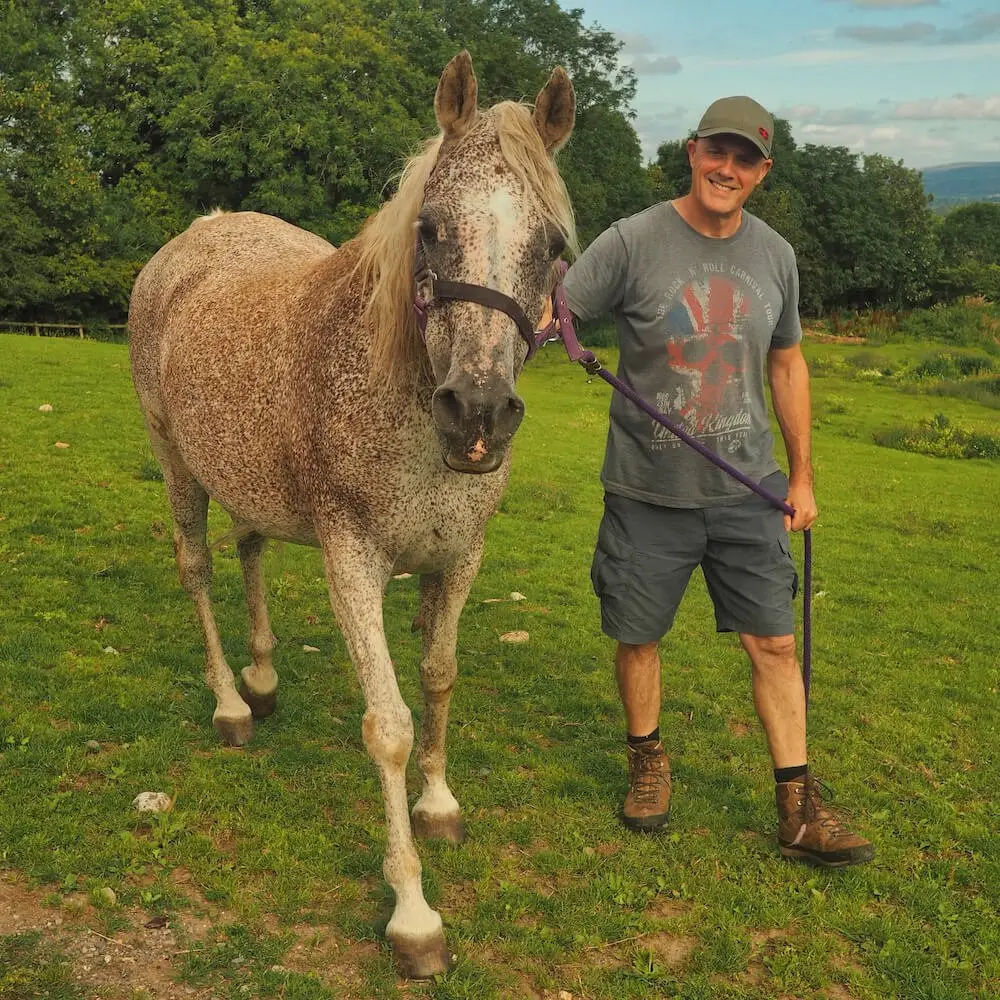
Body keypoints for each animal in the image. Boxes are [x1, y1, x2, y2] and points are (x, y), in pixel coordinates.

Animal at [127, 51, 576, 978]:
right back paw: (231, 706)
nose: (478, 413)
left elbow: (439, 676)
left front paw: (438, 805)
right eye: (431, 228)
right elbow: (390, 725)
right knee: (198, 569)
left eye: (551, 246)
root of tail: (193, 239)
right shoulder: (353, 559)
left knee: (250, 548)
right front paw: (413, 914)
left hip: (247, 477)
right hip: (176, 464)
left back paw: (262, 682)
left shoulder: (459, 557)